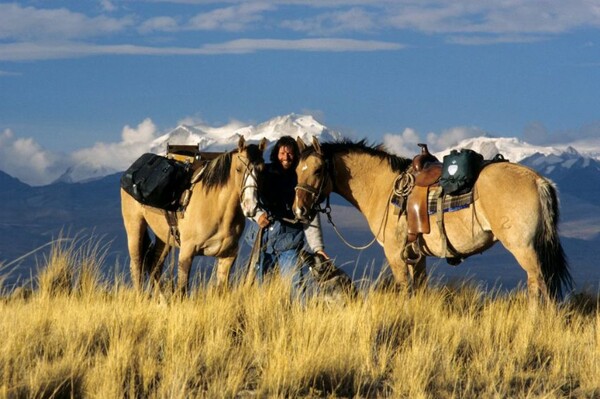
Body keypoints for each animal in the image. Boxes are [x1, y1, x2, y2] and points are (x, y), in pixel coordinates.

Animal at [120, 138, 266, 296]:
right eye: (238, 169)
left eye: (262, 170)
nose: (250, 206)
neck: (217, 209)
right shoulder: (187, 253)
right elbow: (182, 290)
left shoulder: (228, 255)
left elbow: (221, 289)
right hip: (135, 227)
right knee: (137, 265)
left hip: (164, 237)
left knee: (155, 263)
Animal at [292, 138, 576, 304]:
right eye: (296, 170)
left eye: (318, 170)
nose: (299, 210)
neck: (383, 187)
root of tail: (538, 180)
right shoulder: (416, 255)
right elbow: (419, 289)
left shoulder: (394, 253)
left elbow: (404, 289)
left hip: (523, 247)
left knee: (538, 284)